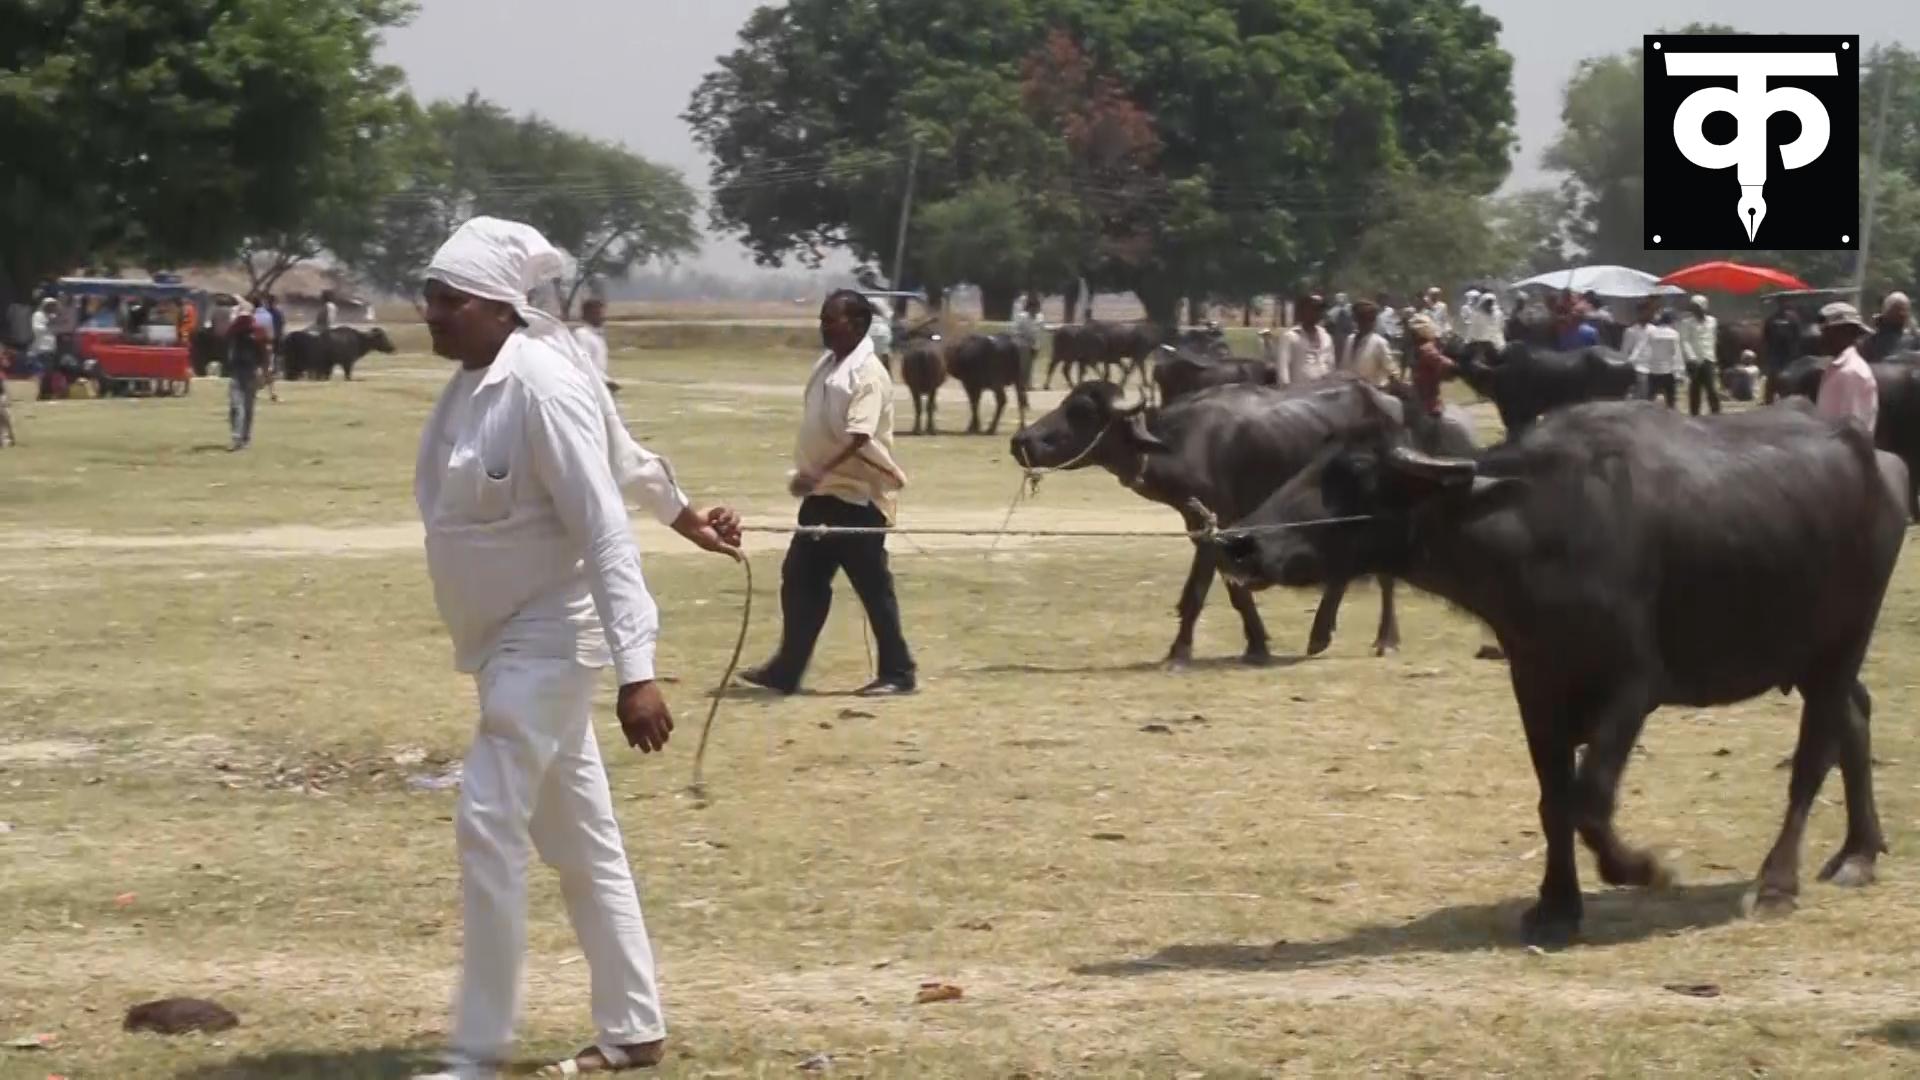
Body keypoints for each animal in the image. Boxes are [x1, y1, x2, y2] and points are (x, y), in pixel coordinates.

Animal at [1006, 378, 1413, 664]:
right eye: (1064, 403)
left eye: (1084, 413)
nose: (1020, 441)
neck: (1179, 446)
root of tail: (1392, 405)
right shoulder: (1200, 524)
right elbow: (1235, 589)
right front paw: (1256, 644)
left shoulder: (1213, 524)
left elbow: (1199, 591)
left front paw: (1180, 650)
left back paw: (1372, 639)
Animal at [1221, 401, 1912, 941]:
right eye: (1311, 460)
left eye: (1357, 472)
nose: (1238, 543)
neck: (1535, 532)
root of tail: (1882, 464)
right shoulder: (1535, 686)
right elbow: (1554, 799)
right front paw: (1556, 906)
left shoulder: (1633, 689)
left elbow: (1591, 798)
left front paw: (1645, 869)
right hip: (1809, 654)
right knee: (1854, 718)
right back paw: (1858, 854)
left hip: (1842, 642)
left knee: (1811, 759)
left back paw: (1776, 885)